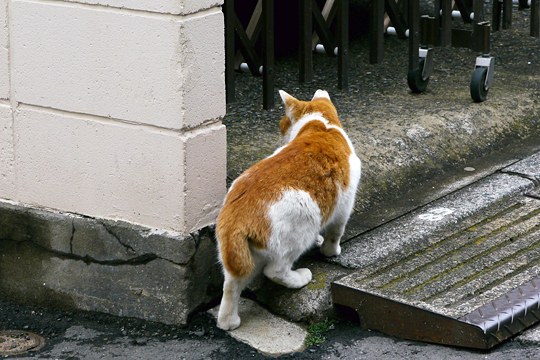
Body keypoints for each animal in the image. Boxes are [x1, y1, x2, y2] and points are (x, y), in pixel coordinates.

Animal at [216, 88, 362, 330]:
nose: (282, 128)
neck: (321, 125)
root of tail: (234, 219)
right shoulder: (344, 205)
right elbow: (335, 233)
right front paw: (331, 251)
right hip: (300, 230)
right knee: (275, 271)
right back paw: (300, 277)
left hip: (239, 258)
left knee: (231, 285)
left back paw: (229, 321)